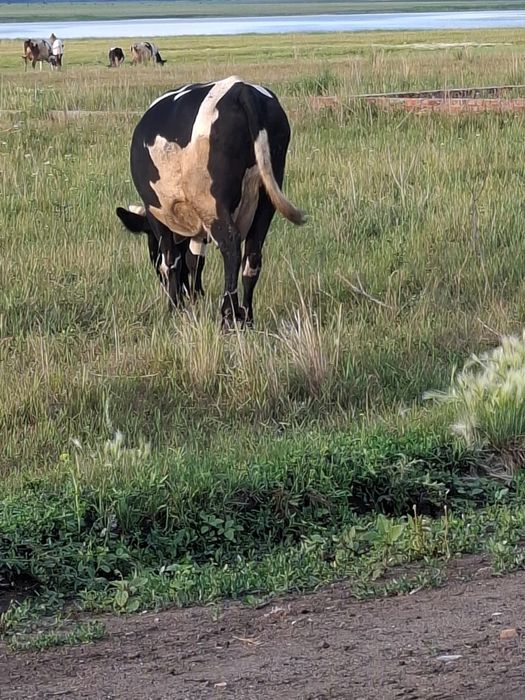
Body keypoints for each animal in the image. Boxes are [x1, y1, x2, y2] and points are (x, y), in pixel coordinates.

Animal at [116, 76, 306, 328]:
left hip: (213, 203)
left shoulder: (158, 214)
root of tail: (240, 88)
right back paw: (247, 317)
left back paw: (228, 315)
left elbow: (171, 260)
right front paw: (194, 298)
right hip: (267, 198)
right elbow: (194, 260)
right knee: (252, 254)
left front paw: (174, 307)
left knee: (231, 245)